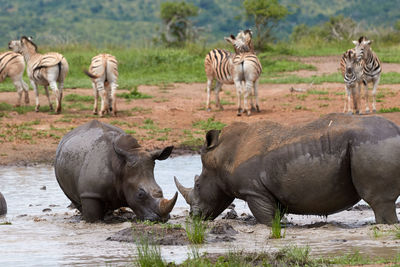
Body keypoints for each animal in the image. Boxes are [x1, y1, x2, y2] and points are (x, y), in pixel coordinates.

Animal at [177, 113, 400, 226]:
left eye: (198, 185)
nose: (193, 216)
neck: (221, 158)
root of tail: (397, 131)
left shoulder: (254, 192)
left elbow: (266, 219)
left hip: (372, 145)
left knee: (380, 202)